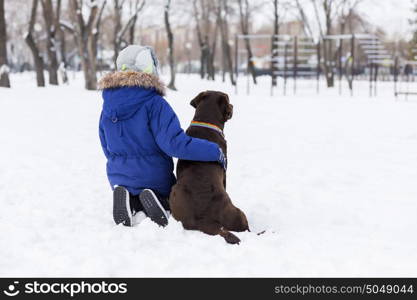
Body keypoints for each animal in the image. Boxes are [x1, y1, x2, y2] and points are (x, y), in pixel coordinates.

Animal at [168, 91, 247, 244]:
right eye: (228, 100)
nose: (232, 106)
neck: (205, 123)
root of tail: (204, 220)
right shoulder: (225, 173)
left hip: (174, 192)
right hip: (239, 214)